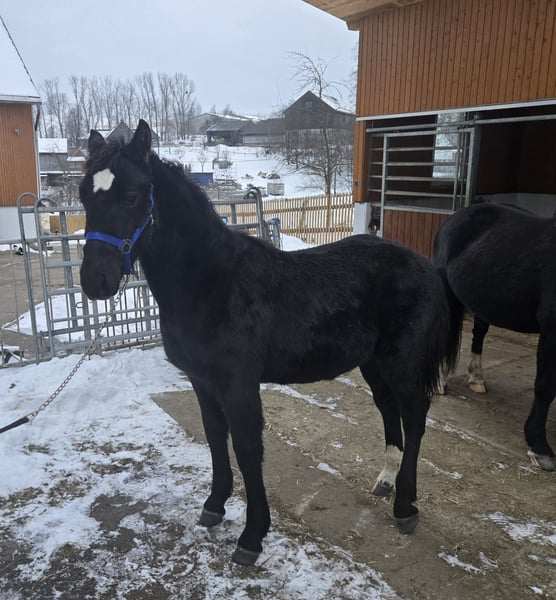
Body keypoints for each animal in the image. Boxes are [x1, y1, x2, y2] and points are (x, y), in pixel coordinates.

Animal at [79, 119, 460, 565]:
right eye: (85, 195)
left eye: (133, 196)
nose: (95, 282)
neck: (212, 282)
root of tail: (426, 265)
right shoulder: (202, 382)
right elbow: (215, 438)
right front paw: (214, 505)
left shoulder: (239, 385)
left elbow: (247, 449)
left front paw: (252, 536)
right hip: (373, 364)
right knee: (389, 411)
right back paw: (385, 482)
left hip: (401, 364)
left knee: (415, 416)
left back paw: (405, 506)